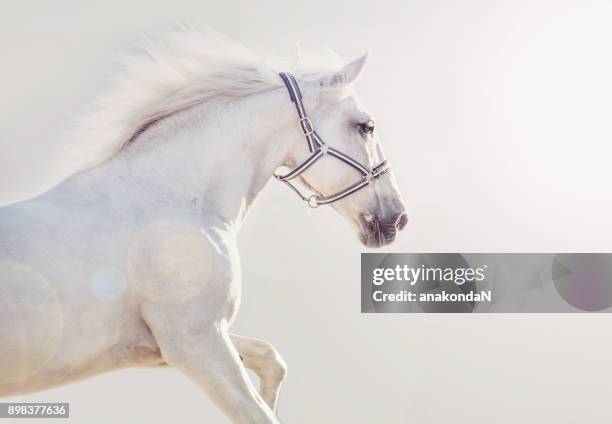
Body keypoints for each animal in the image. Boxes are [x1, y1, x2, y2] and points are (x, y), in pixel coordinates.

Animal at [0, 28, 406, 422]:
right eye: (367, 126)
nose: (398, 218)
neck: (173, 199)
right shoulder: (196, 345)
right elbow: (259, 411)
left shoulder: (176, 343)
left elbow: (272, 359)